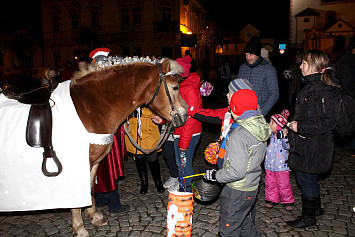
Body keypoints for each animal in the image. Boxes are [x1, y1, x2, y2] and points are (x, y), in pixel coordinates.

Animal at [0, 56, 189, 236]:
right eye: (175, 88)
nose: (185, 115)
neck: (89, 108)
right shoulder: (77, 166)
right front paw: (80, 228)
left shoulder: (94, 163)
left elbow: (90, 188)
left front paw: (94, 216)